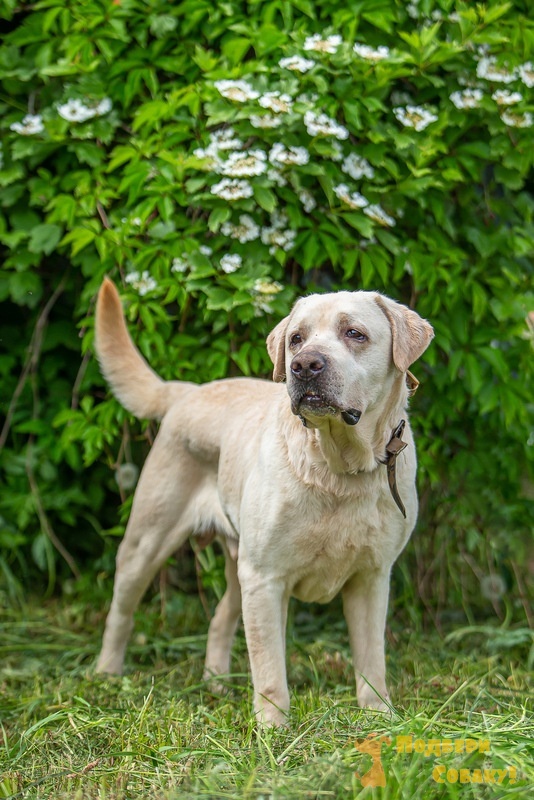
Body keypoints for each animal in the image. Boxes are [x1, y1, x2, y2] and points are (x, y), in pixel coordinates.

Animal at [95, 280, 436, 724]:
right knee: (121, 611)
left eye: (355, 333)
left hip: (235, 563)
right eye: (296, 339)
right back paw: (106, 674)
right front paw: (273, 726)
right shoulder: (265, 577)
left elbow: (371, 658)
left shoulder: (372, 576)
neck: (339, 468)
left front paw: (378, 716)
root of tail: (190, 391)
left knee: (219, 618)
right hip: (147, 542)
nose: (305, 365)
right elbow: (269, 664)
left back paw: (216, 683)